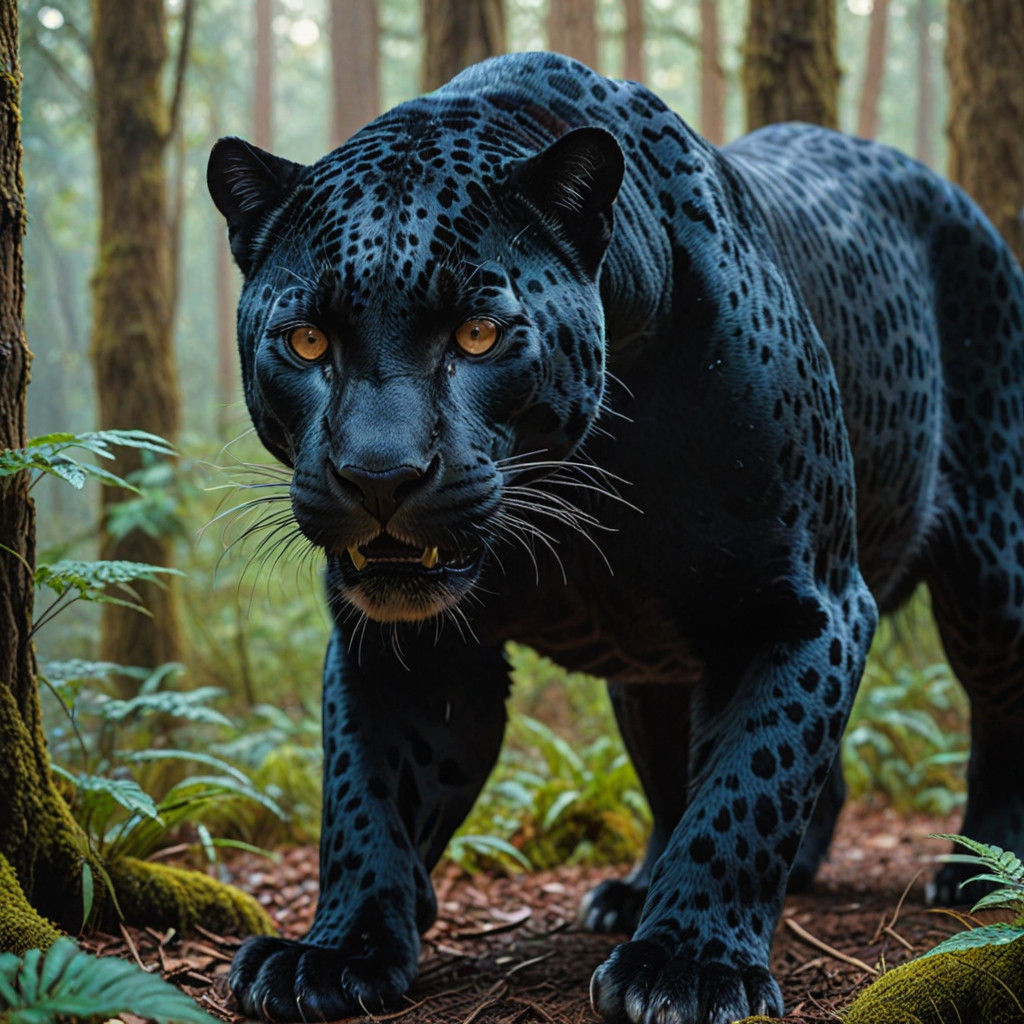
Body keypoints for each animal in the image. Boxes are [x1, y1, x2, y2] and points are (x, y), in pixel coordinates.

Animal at [207, 51, 1024, 1024]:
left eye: (478, 336)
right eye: (305, 341)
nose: (379, 476)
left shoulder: (806, 603)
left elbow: (753, 782)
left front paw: (690, 965)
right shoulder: (407, 644)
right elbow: (369, 791)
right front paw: (336, 950)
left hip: (994, 573)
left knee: (997, 712)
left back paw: (977, 874)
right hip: (655, 666)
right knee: (691, 769)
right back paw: (646, 890)